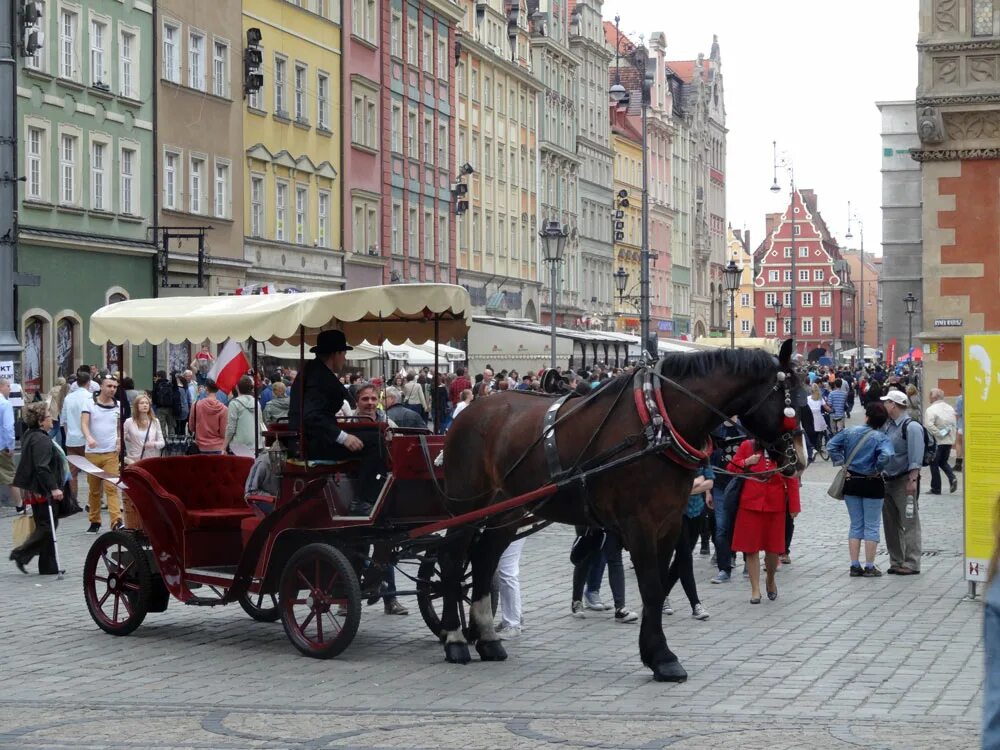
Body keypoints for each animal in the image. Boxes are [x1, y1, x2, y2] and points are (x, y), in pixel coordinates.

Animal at [438, 340, 804, 680]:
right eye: (792, 403)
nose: (798, 459)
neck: (657, 420)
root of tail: (470, 413)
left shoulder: (668, 523)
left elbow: (658, 583)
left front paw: (656, 652)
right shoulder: (638, 524)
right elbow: (651, 588)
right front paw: (662, 658)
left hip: (507, 511)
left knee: (485, 557)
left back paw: (487, 639)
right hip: (465, 507)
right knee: (452, 560)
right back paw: (455, 638)